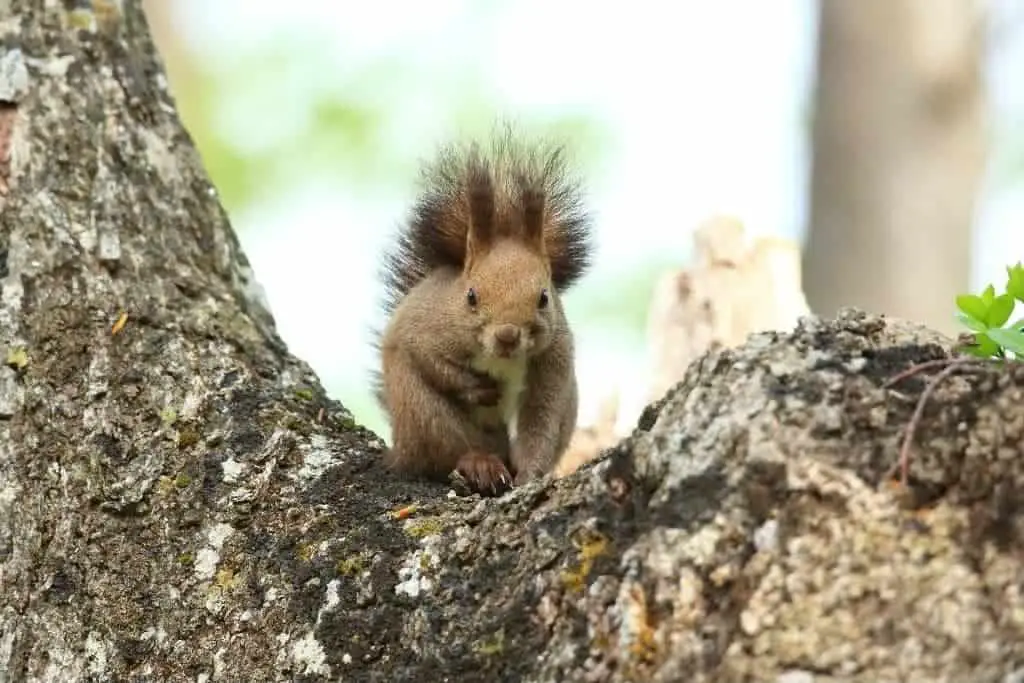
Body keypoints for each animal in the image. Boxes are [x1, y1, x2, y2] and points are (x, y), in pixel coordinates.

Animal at [370, 127, 593, 493]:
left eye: (544, 298)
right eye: (471, 296)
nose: (507, 335)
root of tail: (401, 447)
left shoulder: (554, 360)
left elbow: (541, 421)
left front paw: (530, 474)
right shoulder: (425, 328)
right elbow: (428, 358)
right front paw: (479, 388)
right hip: (421, 410)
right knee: (450, 448)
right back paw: (480, 464)